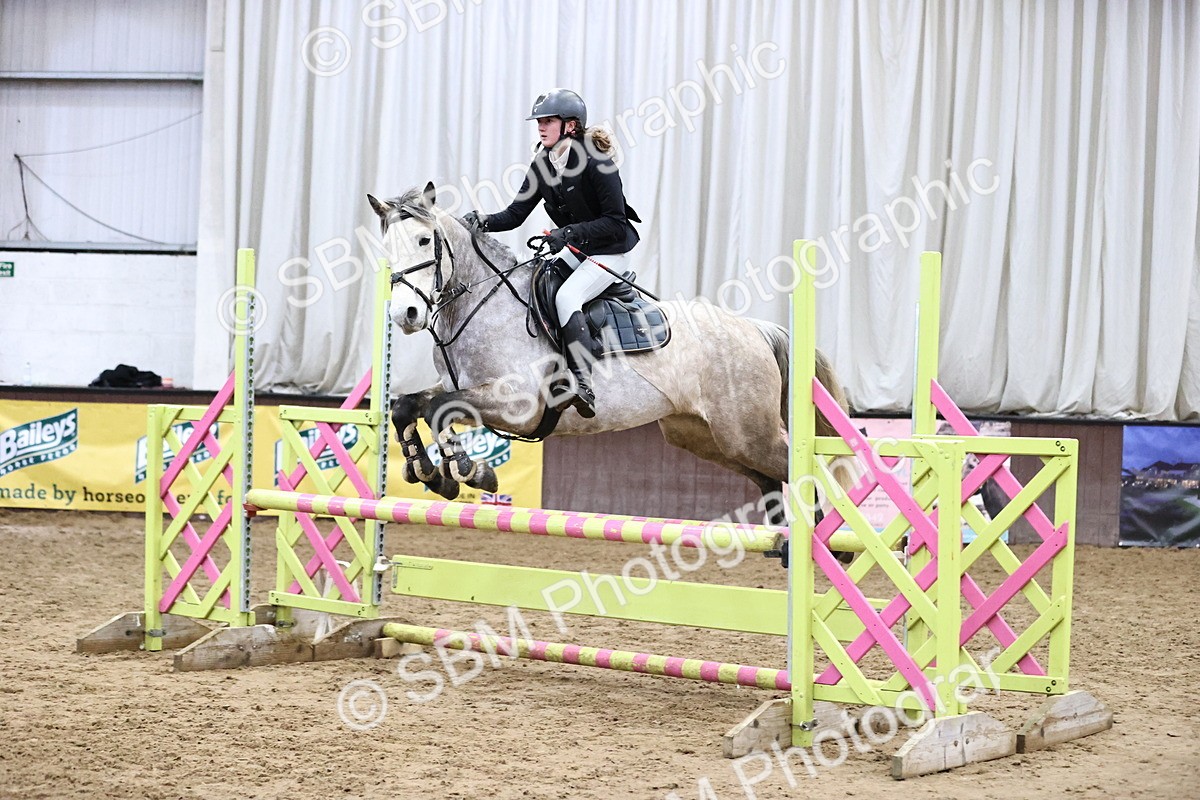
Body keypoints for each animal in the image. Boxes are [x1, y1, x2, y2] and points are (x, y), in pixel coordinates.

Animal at [367, 183, 850, 527]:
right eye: (386, 249)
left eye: (425, 241)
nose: (406, 314)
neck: (481, 304)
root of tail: (755, 329)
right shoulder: (462, 389)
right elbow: (409, 405)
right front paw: (429, 473)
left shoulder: (518, 405)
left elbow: (439, 410)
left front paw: (471, 470)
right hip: (703, 436)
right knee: (770, 476)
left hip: (747, 431)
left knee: (798, 470)